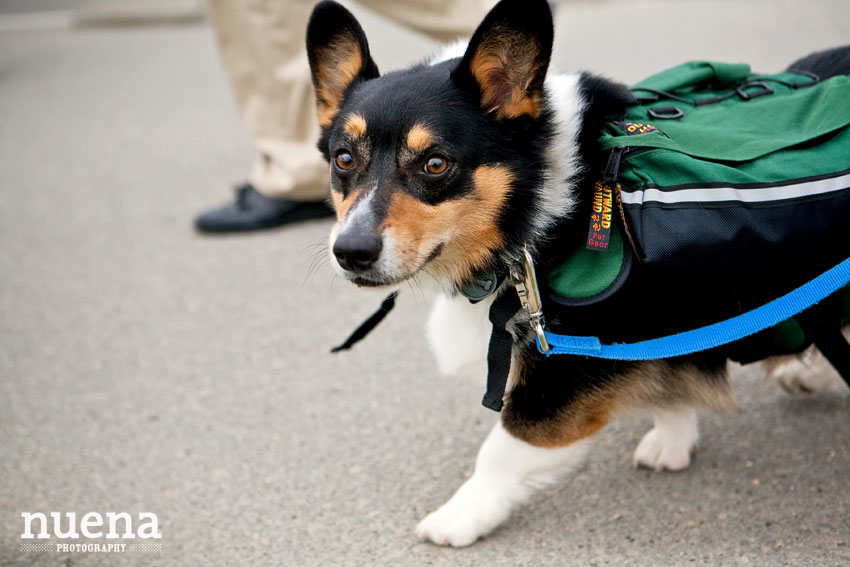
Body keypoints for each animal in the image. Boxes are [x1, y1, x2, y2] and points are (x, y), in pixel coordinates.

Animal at [304, 0, 848, 548]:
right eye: (343, 159)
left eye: (436, 164)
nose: (351, 251)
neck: (546, 203)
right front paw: (673, 437)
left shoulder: (570, 367)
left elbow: (501, 450)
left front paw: (458, 518)